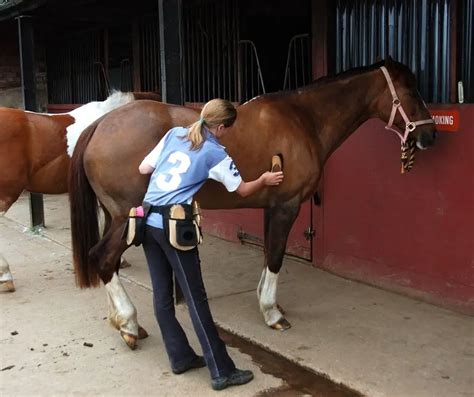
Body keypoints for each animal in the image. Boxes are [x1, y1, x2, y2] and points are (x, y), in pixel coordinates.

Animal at [68, 57, 436, 348]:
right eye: (409, 91)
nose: (430, 135)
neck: (303, 119)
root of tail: (101, 124)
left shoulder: (270, 207)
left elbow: (268, 254)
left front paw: (266, 301)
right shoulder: (286, 206)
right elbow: (275, 256)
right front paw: (272, 314)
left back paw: (122, 321)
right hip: (128, 218)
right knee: (103, 258)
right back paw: (129, 324)